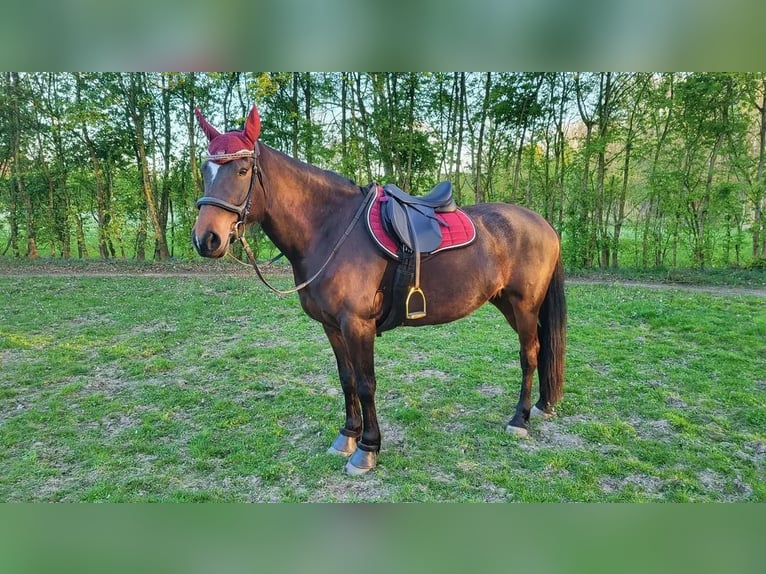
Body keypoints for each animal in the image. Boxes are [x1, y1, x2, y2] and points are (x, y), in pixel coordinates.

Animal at [191, 105, 567, 475]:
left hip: (524, 305)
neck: (331, 229)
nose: (206, 239)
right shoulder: (331, 326)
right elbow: (346, 378)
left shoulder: (358, 325)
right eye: (205, 170)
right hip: (506, 303)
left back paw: (520, 419)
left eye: (242, 170)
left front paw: (367, 449)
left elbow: (365, 383)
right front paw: (347, 436)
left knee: (529, 353)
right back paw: (541, 404)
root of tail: (543, 223)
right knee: (538, 347)